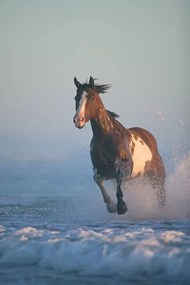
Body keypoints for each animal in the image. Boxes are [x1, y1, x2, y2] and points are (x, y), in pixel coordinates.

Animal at [73, 75, 166, 213]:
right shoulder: (103, 170)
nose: (78, 120)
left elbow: (119, 178)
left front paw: (121, 206)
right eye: (76, 98)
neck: (106, 138)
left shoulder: (125, 168)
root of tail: (149, 137)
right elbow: (97, 179)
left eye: (91, 97)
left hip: (157, 177)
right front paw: (111, 206)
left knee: (161, 196)